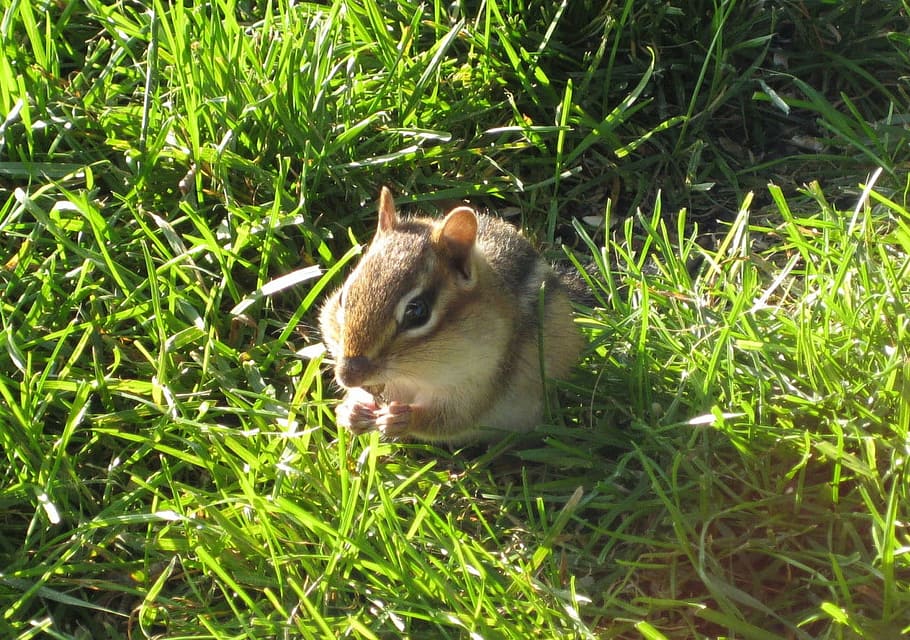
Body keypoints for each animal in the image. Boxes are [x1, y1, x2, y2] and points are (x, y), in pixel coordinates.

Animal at [319, 187, 585, 444]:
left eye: (417, 311)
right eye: (343, 297)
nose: (347, 376)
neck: (413, 376)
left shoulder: (483, 378)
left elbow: (448, 419)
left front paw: (401, 419)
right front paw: (351, 410)